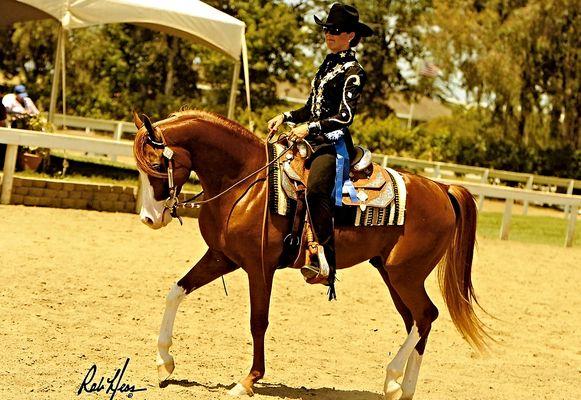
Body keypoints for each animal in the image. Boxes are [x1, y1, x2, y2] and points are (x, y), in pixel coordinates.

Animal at [131, 110, 484, 400]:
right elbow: (176, 291)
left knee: (426, 316)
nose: (149, 219)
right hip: (391, 274)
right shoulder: (222, 257)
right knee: (416, 320)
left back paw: (394, 378)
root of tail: (441, 189)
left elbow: (258, 321)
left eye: (158, 165)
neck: (246, 182)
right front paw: (164, 362)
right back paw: (402, 388)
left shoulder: (259, 268)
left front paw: (248, 380)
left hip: (405, 275)